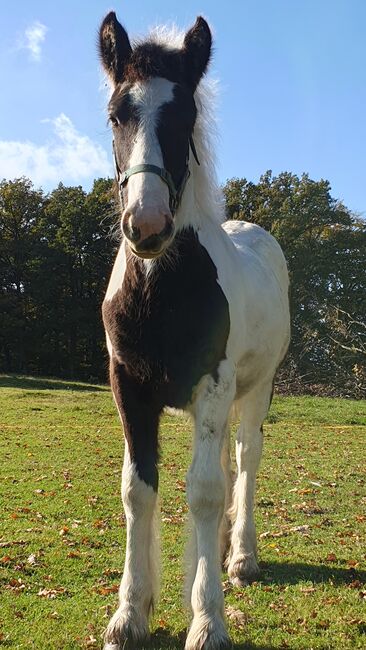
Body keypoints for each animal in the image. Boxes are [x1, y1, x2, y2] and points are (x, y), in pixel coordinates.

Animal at [98, 11, 290, 648]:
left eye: (187, 116)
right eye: (117, 114)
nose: (147, 225)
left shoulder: (213, 382)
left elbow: (204, 492)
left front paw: (207, 620)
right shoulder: (129, 387)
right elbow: (138, 488)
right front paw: (130, 612)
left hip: (254, 389)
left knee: (245, 459)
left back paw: (241, 557)